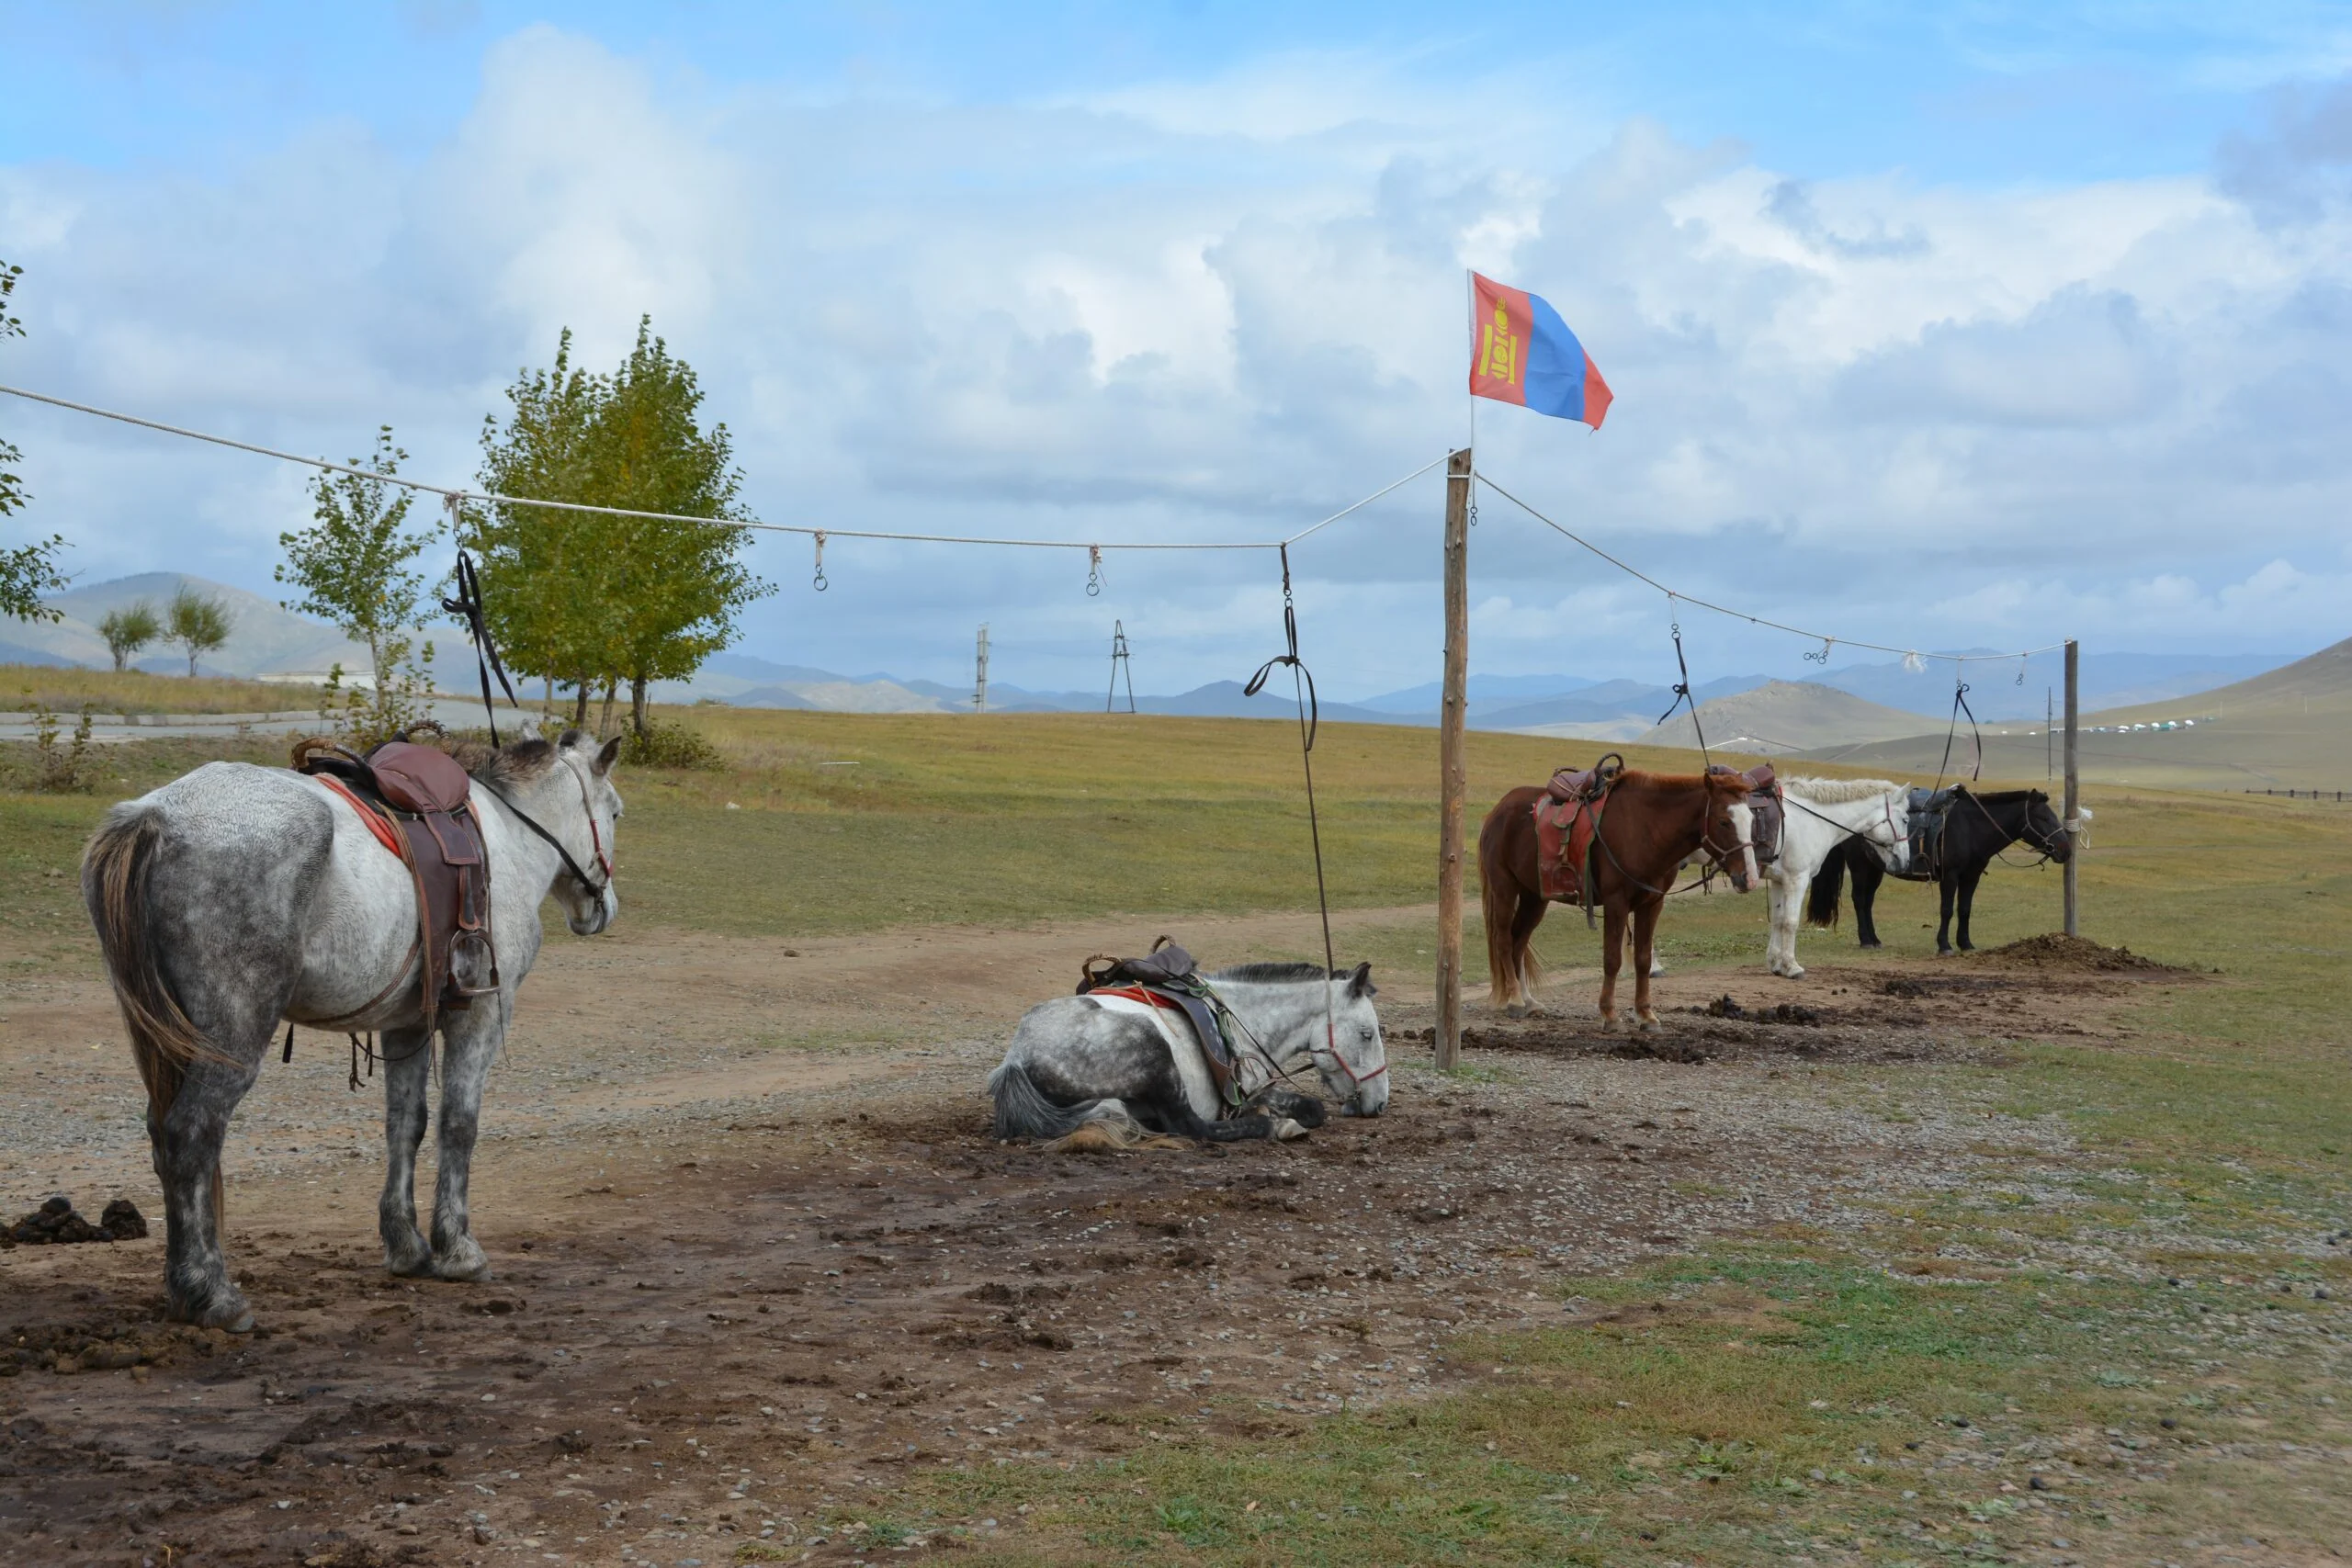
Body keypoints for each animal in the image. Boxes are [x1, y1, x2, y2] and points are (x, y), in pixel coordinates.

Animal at [85, 728, 625, 1335]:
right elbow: (459, 1125)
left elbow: (406, 1125)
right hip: (233, 1037)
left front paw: (406, 1245)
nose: (603, 908)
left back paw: (183, 1287)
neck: (508, 833)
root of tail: (156, 815)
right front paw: (458, 1248)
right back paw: (211, 1292)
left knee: (162, 1138)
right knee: (190, 1135)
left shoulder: (408, 1024)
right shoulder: (483, 1013)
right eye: (615, 813)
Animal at [997, 964, 1392, 1146]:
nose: (1380, 1105)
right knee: (1189, 1126)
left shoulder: (1250, 1091)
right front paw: (1277, 1121)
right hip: (1154, 1051)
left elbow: (1311, 1107)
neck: (1242, 1016)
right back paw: (1265, 1127)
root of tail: (1017, 1057)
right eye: (1367, 1034)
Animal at [1476, 771, 1758, 1034]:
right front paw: (1610, 1015)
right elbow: (1612, 959)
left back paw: (1528, 1001)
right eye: (1724, 821)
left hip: (1534, 897)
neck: (1646, 828)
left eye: (1752, 820)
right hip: (1505, 888)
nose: (1749, 878)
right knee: (1504, 941)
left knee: (1519, 942)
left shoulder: (1652, 904)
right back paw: (1514, 1000)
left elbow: (1643, 960)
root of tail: (1499, 810)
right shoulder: (1616, 903)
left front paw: (1646, 1015)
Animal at [1769, 775, 1909, 982]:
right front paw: (1792, 967)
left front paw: (1776, 965)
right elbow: (1790, 922)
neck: (1811, 819)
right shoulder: (1797, 879)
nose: (1906, 860)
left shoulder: (1779, 879)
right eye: (1906, 820)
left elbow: (1778, 920)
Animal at [1815, 784, 2079, 959]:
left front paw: (1966, 944)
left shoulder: (1972, 876)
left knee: (1868, 901)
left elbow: (1964, 910)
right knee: (1860, 899)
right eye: (2043, 817)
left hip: (1875, 868)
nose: (2065, 851)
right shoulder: (1950, 876)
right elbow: (1947, 910)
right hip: (1860, 866)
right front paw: (1945, 945)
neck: (1971, 827)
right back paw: (1865, 941)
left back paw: (1875, 939)